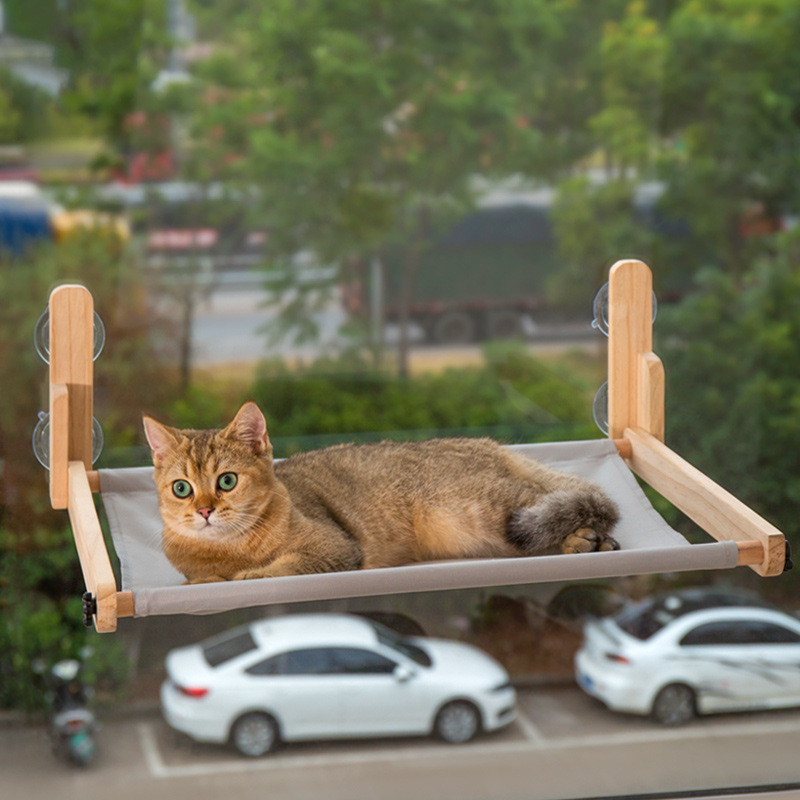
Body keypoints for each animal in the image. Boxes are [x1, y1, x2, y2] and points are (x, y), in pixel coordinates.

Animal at [142, 404, 620, 584]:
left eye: (227, 481)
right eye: (181, 489)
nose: (205, 510)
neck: (232, 550)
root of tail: (488, 445)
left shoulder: (335, 548)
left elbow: (285, 566)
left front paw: (252, 576)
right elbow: (202, 578)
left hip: (486, 511)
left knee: (575, 507)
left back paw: (587, 540)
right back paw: (584, 543)